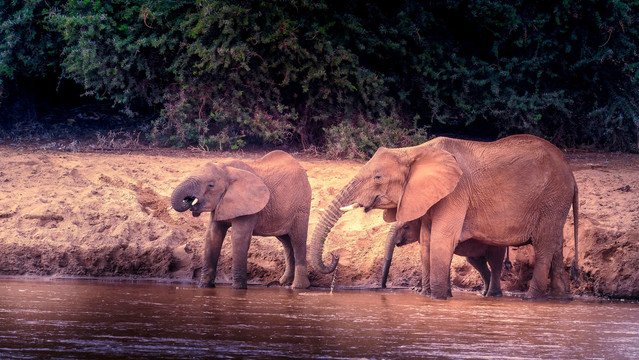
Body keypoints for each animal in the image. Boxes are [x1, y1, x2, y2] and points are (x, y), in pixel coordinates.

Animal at [170, 150, 310, 290]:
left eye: (211, 185)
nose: (189, 200)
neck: (226, 169)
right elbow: (212, 236)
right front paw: (204, 286)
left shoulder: (249, 205)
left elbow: (238, 237)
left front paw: (238, 288)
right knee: (286, 242)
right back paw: (284, 282)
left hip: (301, 208)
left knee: (298, 241)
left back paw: (298, 287)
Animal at [312, 134, 580, 300]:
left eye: (378, 177)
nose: (334, 256)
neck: (415, 151)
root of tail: (571, 174)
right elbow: (427, 242)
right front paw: (428, 296)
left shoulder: (456, 192)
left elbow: (441, 241)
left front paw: (438, 298)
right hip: (555, 203)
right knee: (555, 247)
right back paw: (561, 298)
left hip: (552, 198)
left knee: (544, 247)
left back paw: (532, 299)